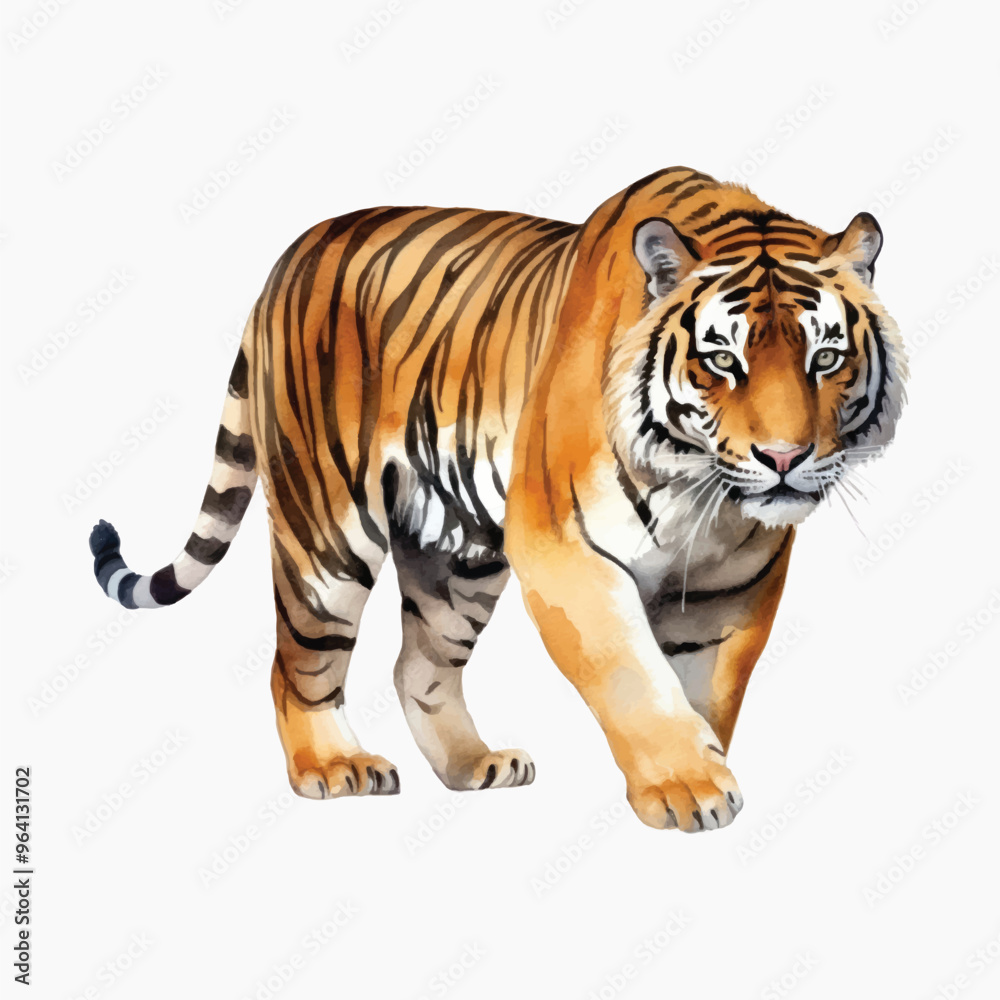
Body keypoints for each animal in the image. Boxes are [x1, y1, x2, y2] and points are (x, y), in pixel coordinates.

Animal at [89, 166, 907, 832]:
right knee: (299, 664)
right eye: (722, 360)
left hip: (459, 557)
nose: (785, 459)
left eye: (825, 356)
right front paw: (687, 787)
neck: (701, 488)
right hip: (326, 532)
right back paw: (333, 766)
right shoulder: (566, 549)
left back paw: (471, 765)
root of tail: (289, 256)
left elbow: (707, 686)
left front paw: (704, 762)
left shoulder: (732, 587)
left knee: (418, 666)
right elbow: (631, 673)